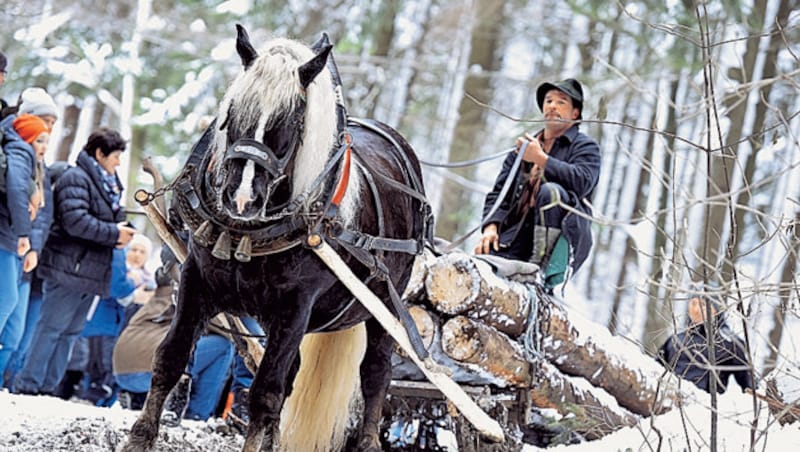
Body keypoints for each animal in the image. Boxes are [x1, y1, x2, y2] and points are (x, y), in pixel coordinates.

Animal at [122, 25, 428, 452]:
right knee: (293, 375)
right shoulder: (196, 279)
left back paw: (368, 440)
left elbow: (266, 390)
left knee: (375, 372)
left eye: (293, 120)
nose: (240, 198)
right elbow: (171, 357)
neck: (250, 232)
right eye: (233, 111)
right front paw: (140, 438)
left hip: (384, 303)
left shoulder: (295, 305)